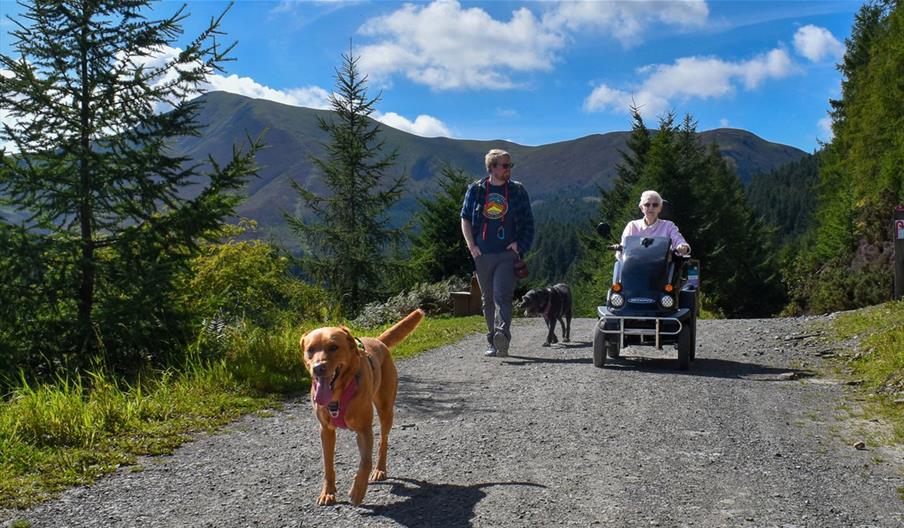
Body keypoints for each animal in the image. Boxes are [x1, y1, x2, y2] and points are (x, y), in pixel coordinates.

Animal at [298, 310, 422, 508]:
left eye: (333, 347)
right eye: (310, 349)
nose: (318, 368)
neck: (338, 394)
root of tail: (377, 340)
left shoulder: (364, 430)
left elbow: (366, 462)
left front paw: (358, 491)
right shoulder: (325, 431)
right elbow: (328, 465)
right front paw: (328, 492)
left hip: (386, 409)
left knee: (383, 443)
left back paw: (380, 470)